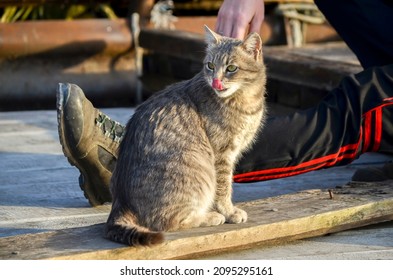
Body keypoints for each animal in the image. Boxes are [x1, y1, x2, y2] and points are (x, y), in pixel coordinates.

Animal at [105, 25, 266, 245]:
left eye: (231, 68)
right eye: (210, 65)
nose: (215, 81)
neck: (245, 101)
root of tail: (120, 202)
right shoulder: (222, 156)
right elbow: (223, 188)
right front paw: (228, 211)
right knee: (168, 222)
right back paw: (209, 216)